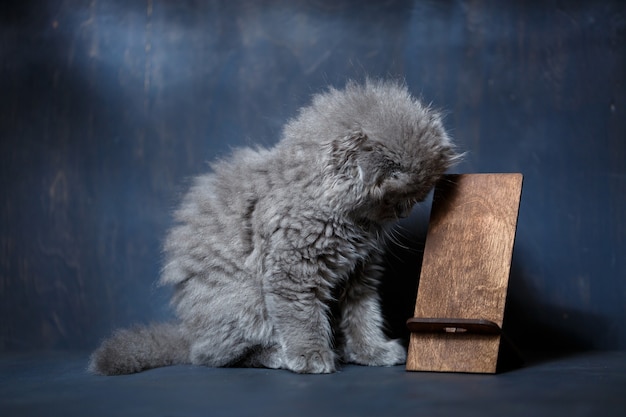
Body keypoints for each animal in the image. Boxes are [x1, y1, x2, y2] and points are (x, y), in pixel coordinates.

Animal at [88, 78, 456, 374]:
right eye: (398, 197)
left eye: (418, 197)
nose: (405, 213)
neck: (346, 221)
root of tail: (188, 333)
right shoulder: (292, 270)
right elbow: (302, 317)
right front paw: (311, 356)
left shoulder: (360, 274)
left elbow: (364, 316)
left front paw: (372, 352)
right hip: (245, 301)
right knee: (214, 357)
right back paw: (278, 355)